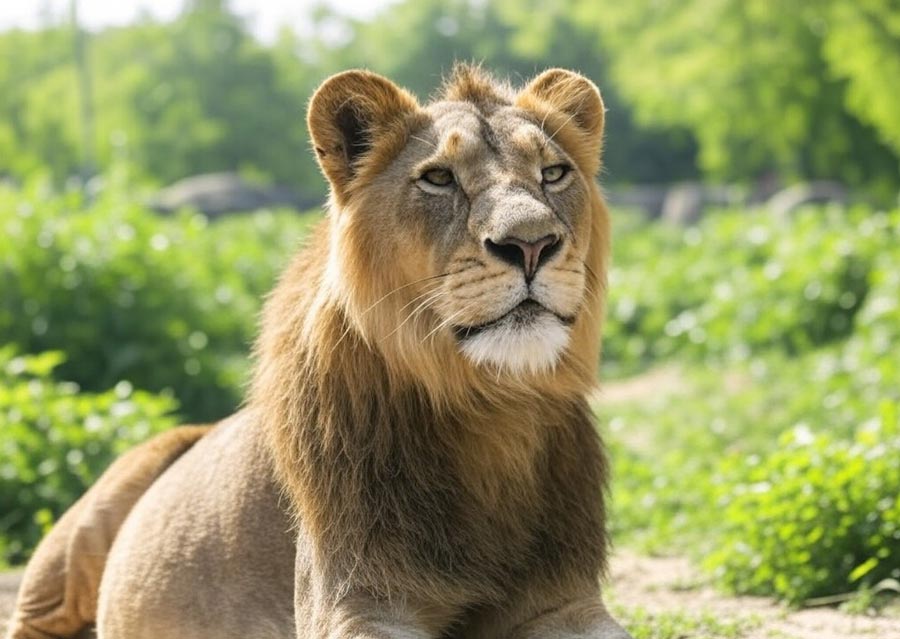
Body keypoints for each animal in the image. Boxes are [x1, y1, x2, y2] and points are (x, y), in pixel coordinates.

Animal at [5, 65, 632, 639]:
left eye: (553, 173)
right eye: (437, 178)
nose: (531, 243)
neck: (490, 407)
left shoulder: (564, 601)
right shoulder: (353, 600)